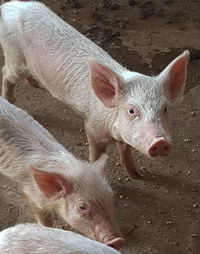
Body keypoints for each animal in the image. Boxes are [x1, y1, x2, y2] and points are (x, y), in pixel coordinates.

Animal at [0, 1, 189, 179]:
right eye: (131, 110)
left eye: (165, 109)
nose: (160, 142)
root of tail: (9, 5)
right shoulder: (92, 126)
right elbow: (97, 154)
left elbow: (125, 151)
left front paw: (137, 175)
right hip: (15, 59)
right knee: (5, 72)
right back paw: (9, 100)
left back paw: (36, 84)